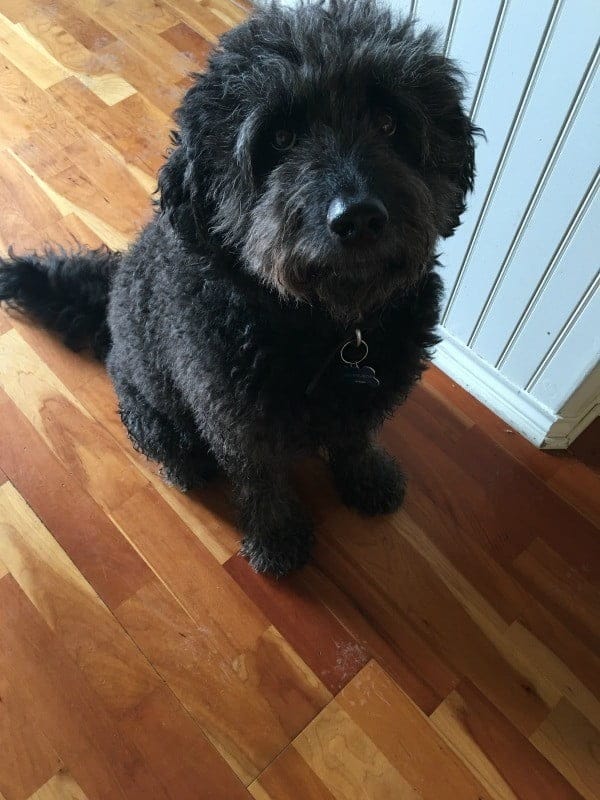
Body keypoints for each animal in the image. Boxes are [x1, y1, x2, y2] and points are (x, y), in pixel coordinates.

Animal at [0, 0, 478, 576]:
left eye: (389, 123)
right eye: (280, 138)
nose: (358, 217)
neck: (326, 327)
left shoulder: (367, 394)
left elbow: (356, 438)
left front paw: (366, 477)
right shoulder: (235, 420)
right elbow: (261, 482)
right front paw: (276, 540)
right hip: (149, 399)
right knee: (155, 431)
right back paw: (180, 461)